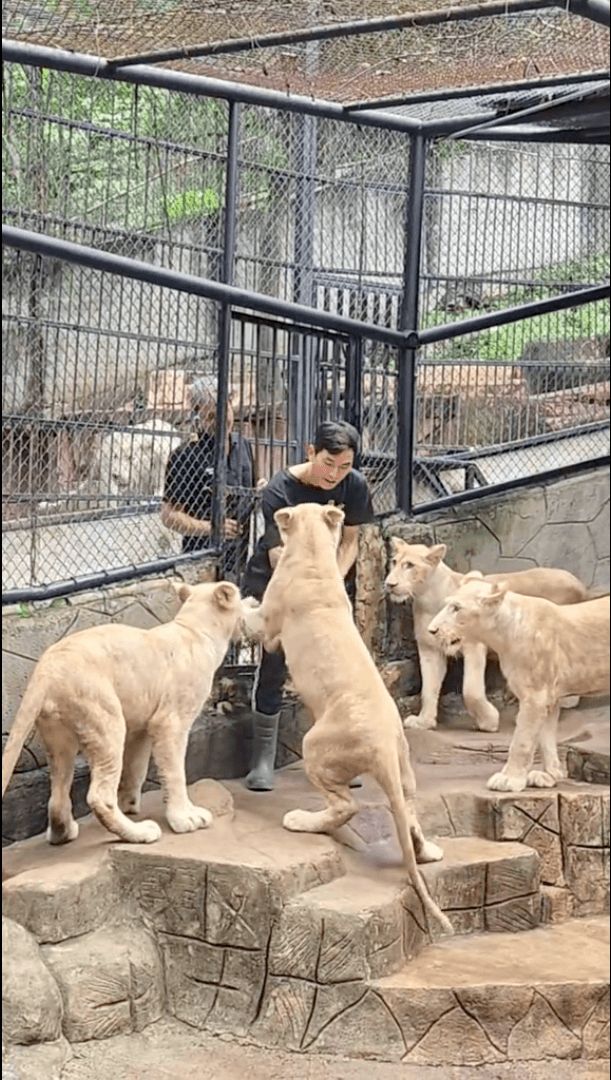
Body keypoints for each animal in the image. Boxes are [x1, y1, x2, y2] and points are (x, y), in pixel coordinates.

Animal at [2, 582, 243, 845]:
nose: (251, 607)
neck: (195, 628)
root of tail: (46, 670)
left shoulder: (142, 726)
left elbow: (137, 768)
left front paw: (129, 803)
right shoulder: (170, 721)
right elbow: (175, 771)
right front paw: (186, 819)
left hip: (59, 737)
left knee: (58, 794)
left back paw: (63, 833)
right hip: (106, 718)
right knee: (99, 795)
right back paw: (141, 832)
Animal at [242, 503, 452, 937]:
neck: (312, 550)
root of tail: (384, 747)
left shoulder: (270, 627)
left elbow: (252, 618)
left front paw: (234, 600)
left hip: (315, 747)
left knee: (345, 806)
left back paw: (300, 820)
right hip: (404, 769)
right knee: (409, 812)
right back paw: (429, 851)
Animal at [385, 538, 587, 732]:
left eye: (409, 565)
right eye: (394, 562)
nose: (389, 584)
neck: (427, 599)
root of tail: (579, 583)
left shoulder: (474, 645)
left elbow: (471, 690)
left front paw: (488, 721)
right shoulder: (429, 649)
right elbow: (428, 688)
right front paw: (423, 722)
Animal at [427, 574, 610, 792]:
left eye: (456, 608)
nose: (431, 630)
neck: (501, 634)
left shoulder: (535, 696)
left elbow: (521, 740)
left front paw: (509, 779)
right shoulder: (549, 697)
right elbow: (545, 737)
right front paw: (549, 775)